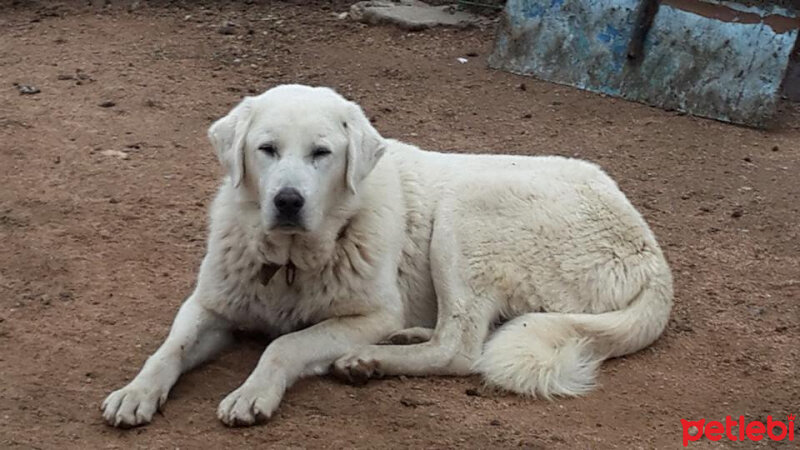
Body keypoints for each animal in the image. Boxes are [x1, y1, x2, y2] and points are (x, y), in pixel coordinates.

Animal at [101, 85, 676, 428]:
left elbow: (286, 344)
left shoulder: (370, 315)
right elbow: (168, 350)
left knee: (460, 349)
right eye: (266, 149)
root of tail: (652, 254)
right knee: (457, 333)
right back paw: (397, 343)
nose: (288, 201)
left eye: (321, 153)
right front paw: (136, 391)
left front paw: (253, 392)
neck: (291, 262)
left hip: (464, 211)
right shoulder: (210, 307)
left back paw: (370, 359)